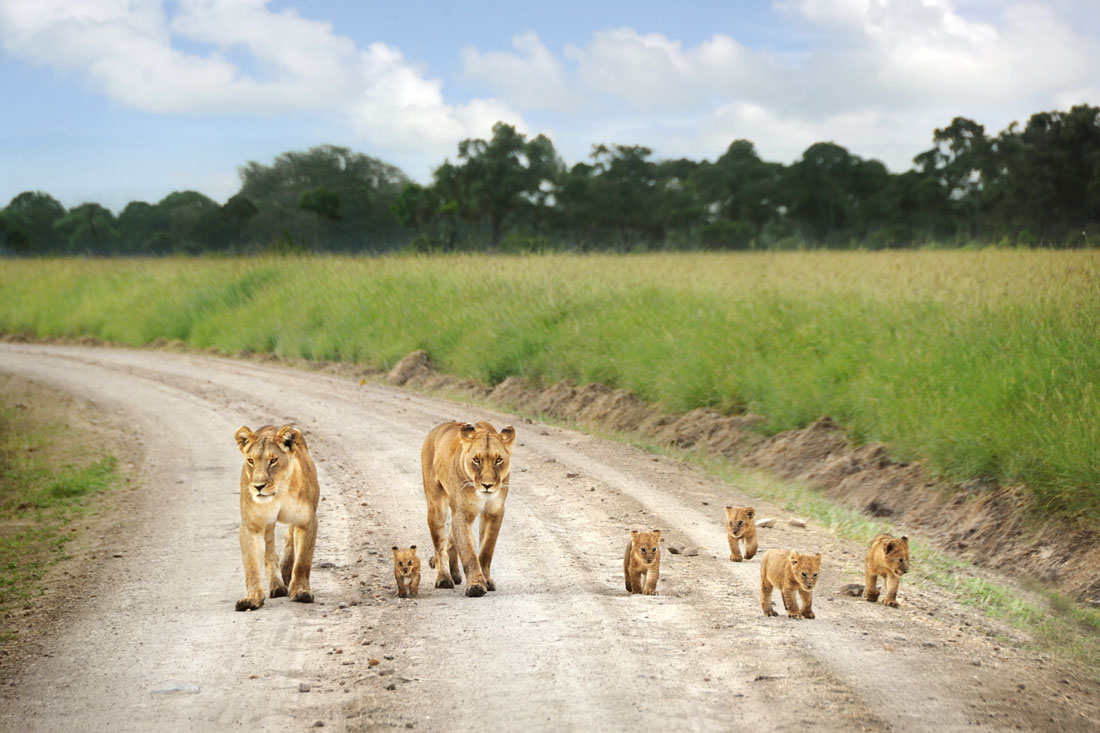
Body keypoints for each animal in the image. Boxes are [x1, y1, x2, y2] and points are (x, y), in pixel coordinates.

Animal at [234, 425, 320, 611]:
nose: (258, 486)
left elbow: (303, 560)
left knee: (290, 538)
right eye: (251, 460)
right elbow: (251, 565)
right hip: (268, 525)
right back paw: (277, 585)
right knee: (270, 551)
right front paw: (252, 598)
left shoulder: (307, 521)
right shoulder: (251, 526)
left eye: (273, 460)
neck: (279, 492)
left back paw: (286, 571)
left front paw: (301, 591)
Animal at [421, 420, 516, 598]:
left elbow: (486, 550)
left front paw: (486, 580)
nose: (487, 485)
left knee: (451, 539)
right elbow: (468, 552)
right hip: (436, 506)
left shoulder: (494, 511)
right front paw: (476, 585)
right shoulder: (462, 513)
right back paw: (444, 577)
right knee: (440, 546)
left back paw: (455, 573)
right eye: (476, 460)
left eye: (498, 460)